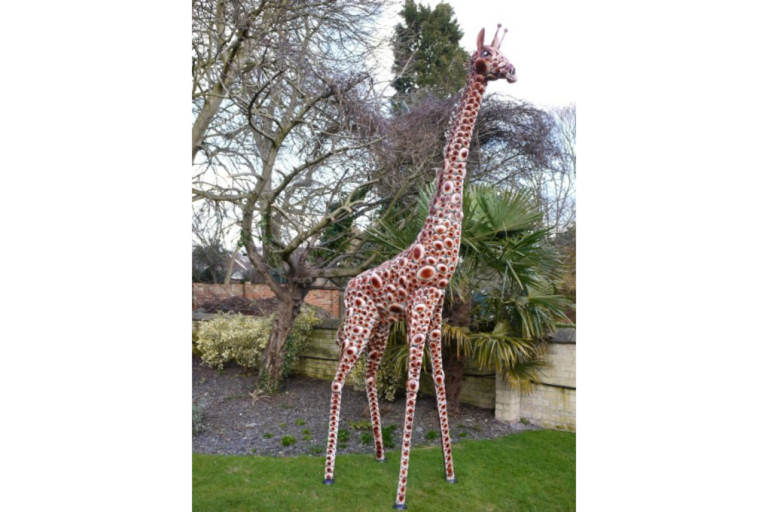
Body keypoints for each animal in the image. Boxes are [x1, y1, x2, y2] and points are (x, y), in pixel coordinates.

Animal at [324, 25, 518, 510]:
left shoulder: (434, 308)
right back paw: (329, 473)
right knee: (337, 380)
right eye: (489, 56)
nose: (513, 71)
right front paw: (401, 495)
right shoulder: (422, 302)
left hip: (377, 326)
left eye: (504, 55)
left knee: (369, 376)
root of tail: (347, 288)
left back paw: (377, 453)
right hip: (358, 326)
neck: (438, 228)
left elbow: (441, 380)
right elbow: (414, 382)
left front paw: (449, 474)